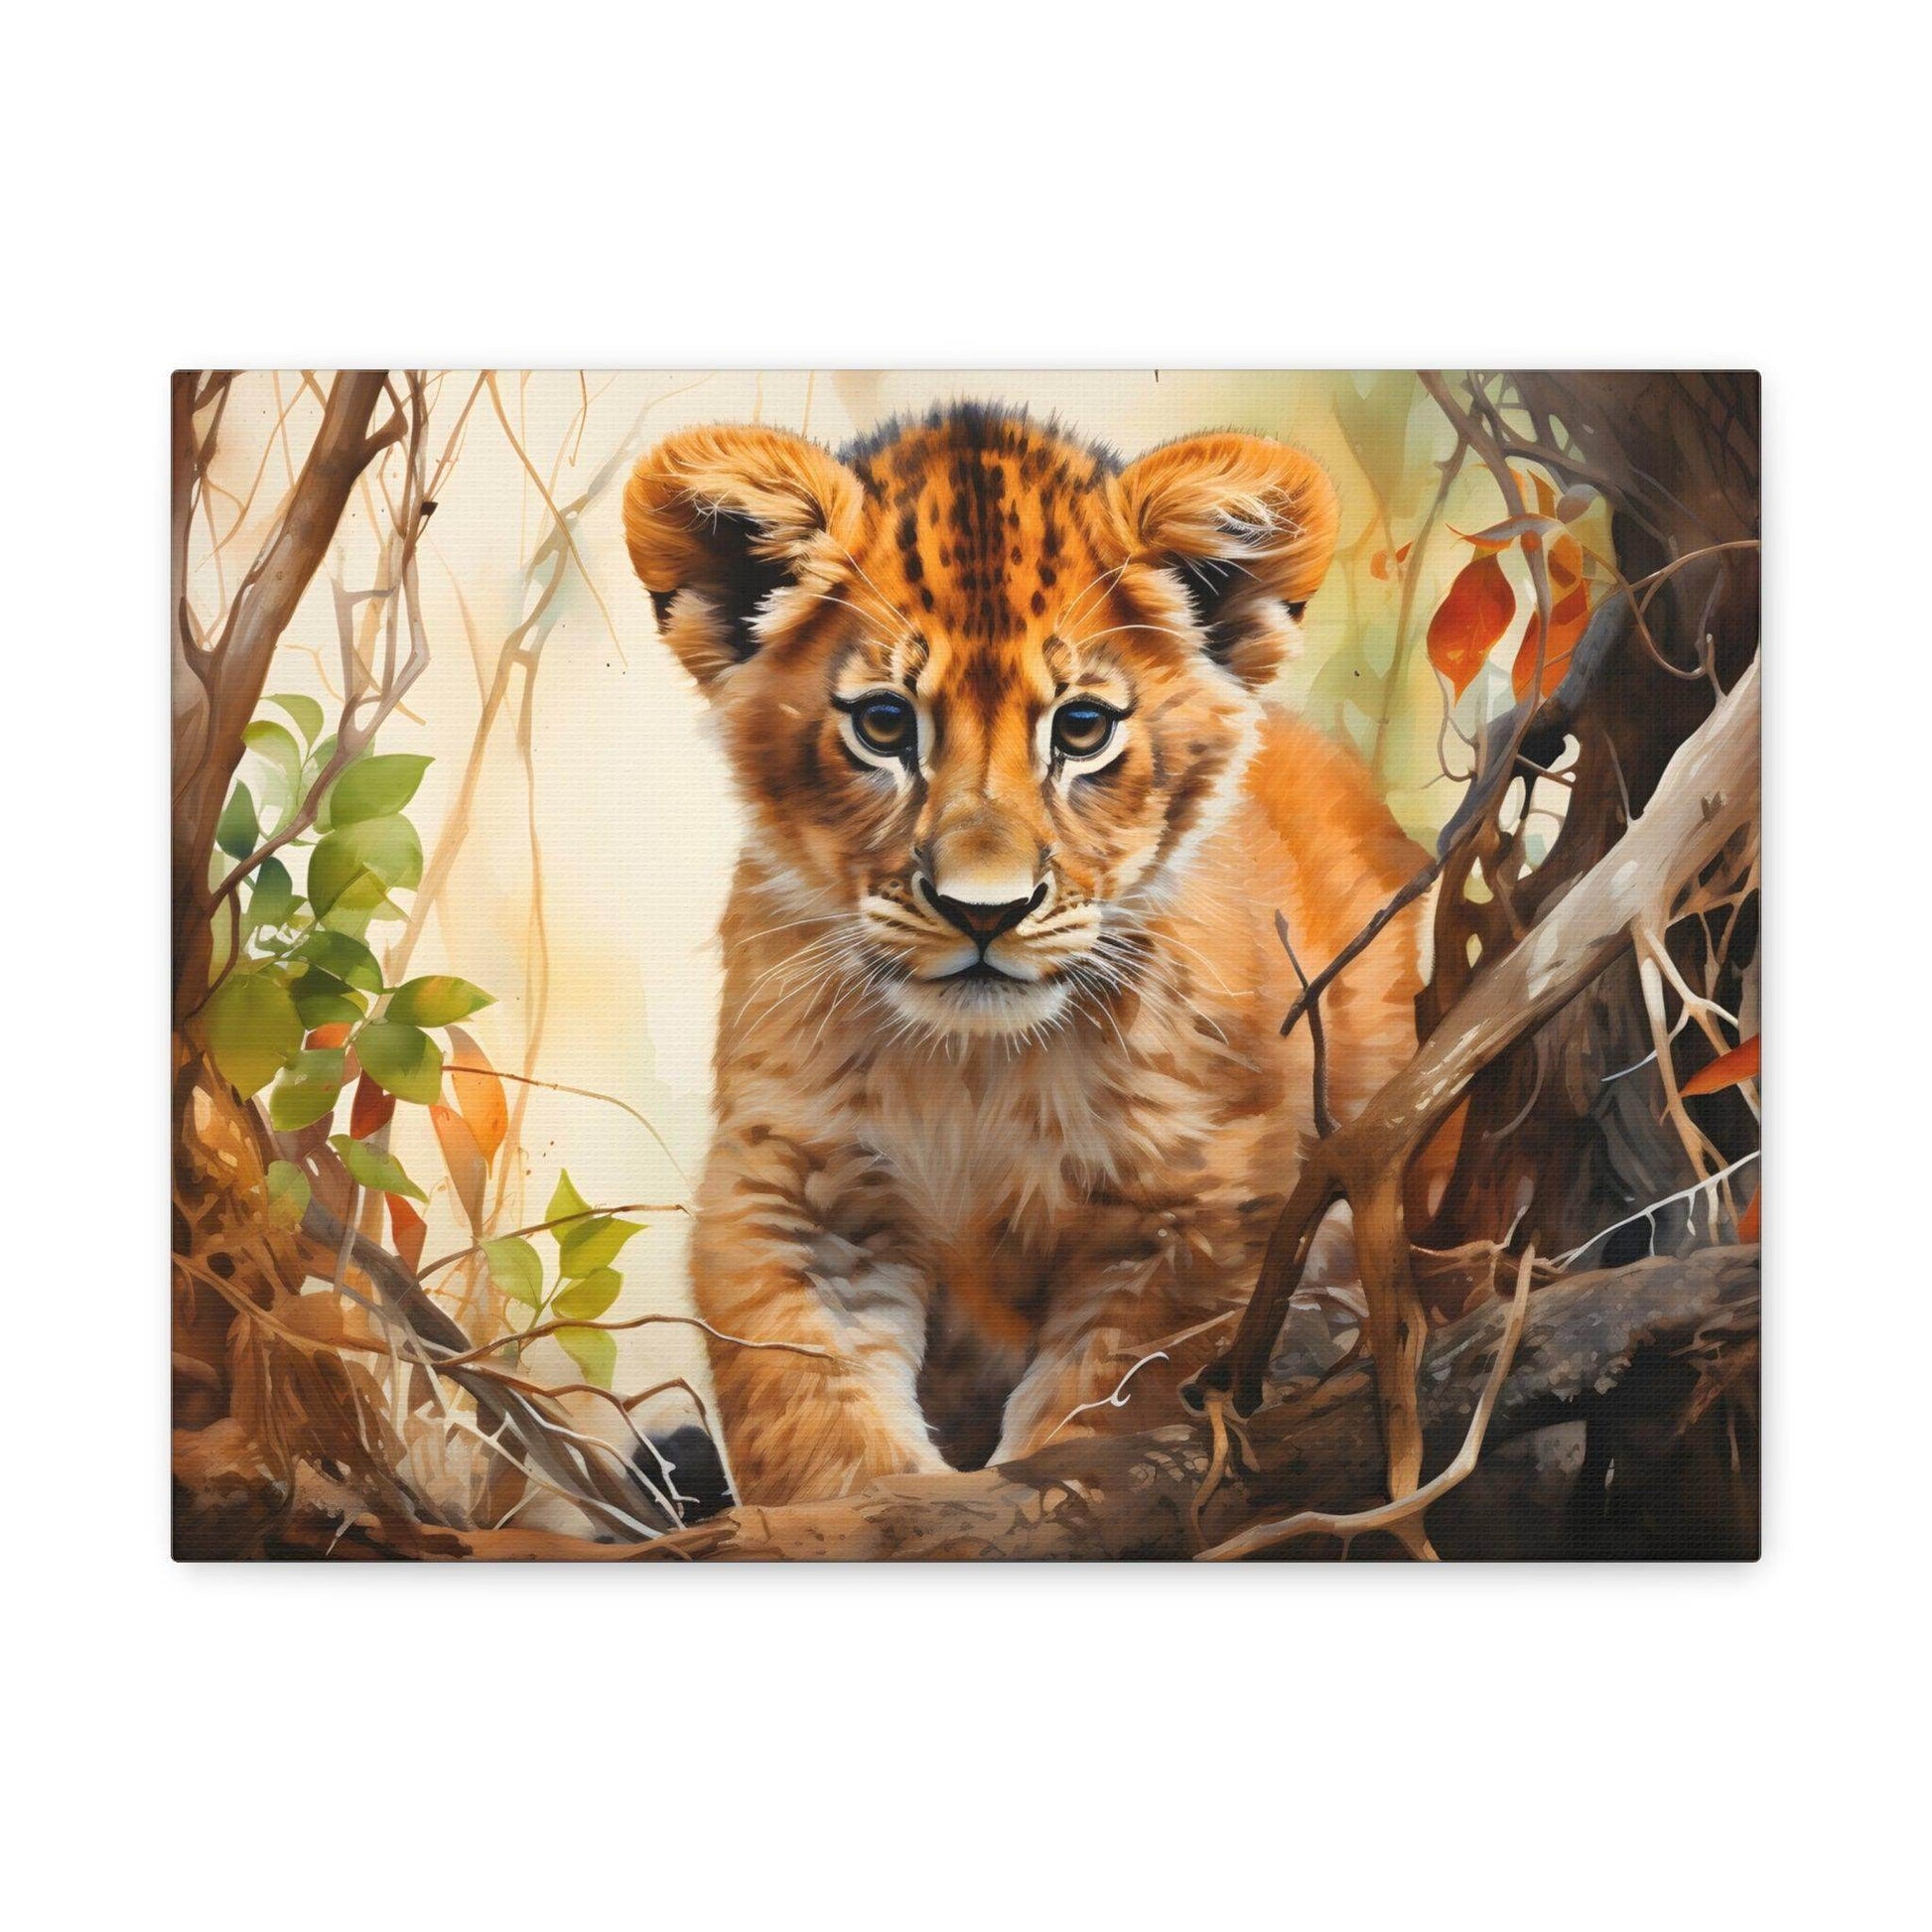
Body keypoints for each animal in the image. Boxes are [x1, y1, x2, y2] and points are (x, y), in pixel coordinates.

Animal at [623, 403, 1427, 1508]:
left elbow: (1107, 1414)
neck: (976, 1074)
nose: (983, 912)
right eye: (884, 723)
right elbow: (813, 1419)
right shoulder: (792, 1189)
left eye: (1081, 728)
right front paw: (885, 1506)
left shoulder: (1196, 1211)